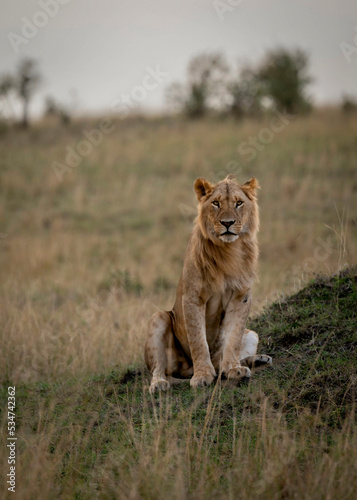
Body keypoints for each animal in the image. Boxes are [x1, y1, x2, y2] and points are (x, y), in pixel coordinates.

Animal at [144, 174, 270, 392]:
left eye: (238, 203)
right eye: (216, 203)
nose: (227, 223)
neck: (229, 251)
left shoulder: (241, 296)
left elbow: (233, 337)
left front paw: (233, 369)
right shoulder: (193, 297)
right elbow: (198, 340)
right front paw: (202, 375)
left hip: (252, 334)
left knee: (221, 361)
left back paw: (256, 360)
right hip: (158, 318)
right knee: (161, 371)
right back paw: (160, 384)